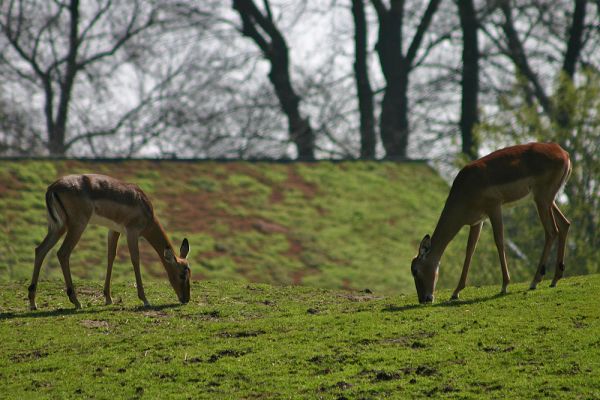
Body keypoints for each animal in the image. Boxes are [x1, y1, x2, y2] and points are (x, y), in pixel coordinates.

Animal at [28, 174, 191, 310]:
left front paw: (108, 298)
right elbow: (135, 260)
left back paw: (33, 303)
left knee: (40, 250)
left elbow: (110, 257)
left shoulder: (114, 230)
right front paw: (145, 299)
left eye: (189, 273)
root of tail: (52, 188)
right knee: (62, 253)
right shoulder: (132, 232)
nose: (186, 299)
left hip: (57, 227)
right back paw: (76, 302)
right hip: (77, 226)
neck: (145, 208)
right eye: (182, 275)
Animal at [412, 144, 572, 304]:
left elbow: (499, 241)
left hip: (542, 199)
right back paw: (554, 279)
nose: (424, 299)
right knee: (565, 224)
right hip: (547, 200)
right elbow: (470, 250)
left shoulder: (494, 208)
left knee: (552, 231)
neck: (465, 188)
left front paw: (504, 285)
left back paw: (535, 282)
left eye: (415, 270)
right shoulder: (477, 221)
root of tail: (563, 153)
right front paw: (456, 292)